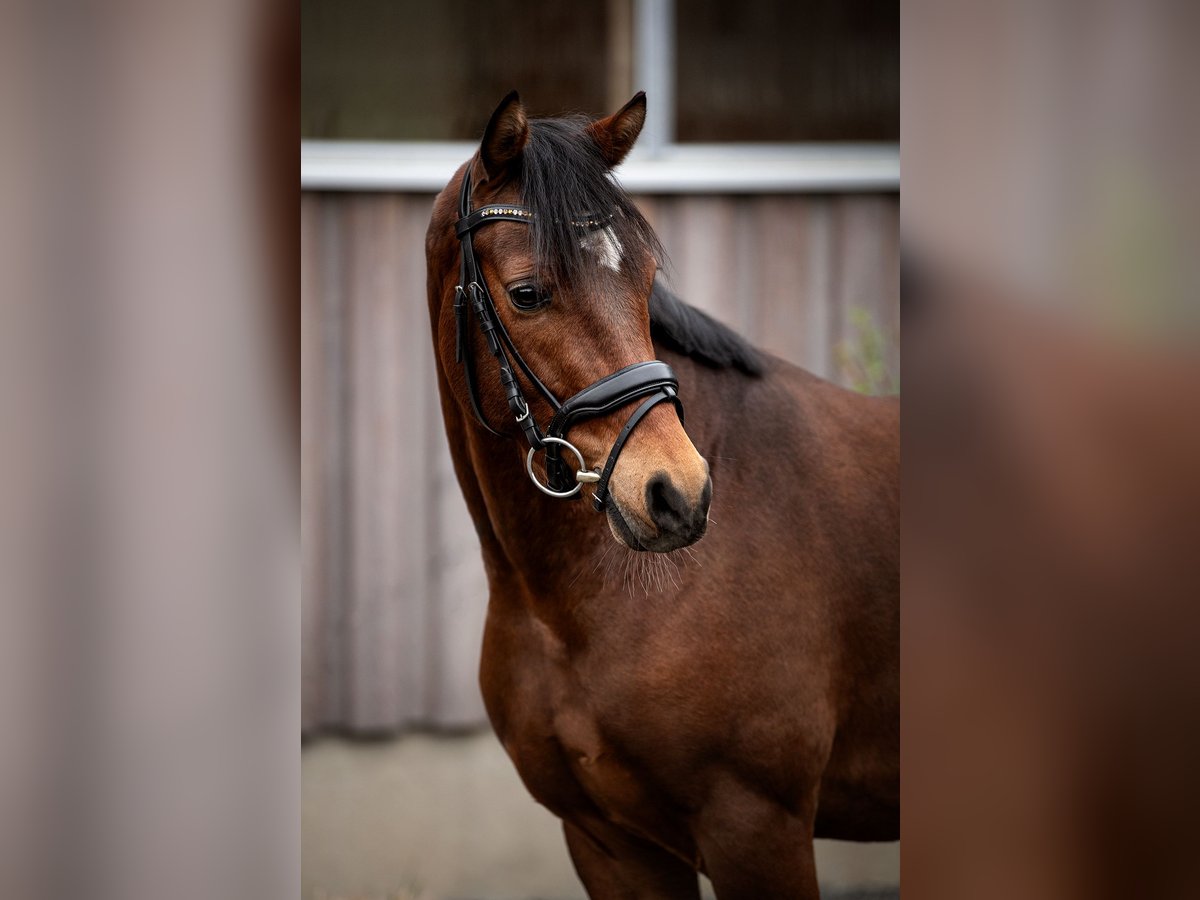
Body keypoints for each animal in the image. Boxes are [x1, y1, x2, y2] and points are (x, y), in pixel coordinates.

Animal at [427, 93, 897, 900]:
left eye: (647, 283)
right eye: (526, 294)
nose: (678, 494)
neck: (573, 608)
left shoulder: (757, 828)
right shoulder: (611, 844)